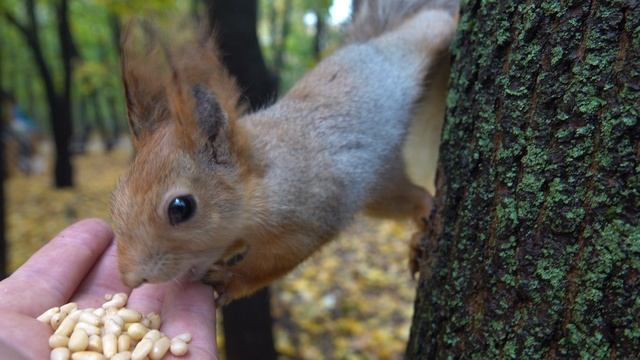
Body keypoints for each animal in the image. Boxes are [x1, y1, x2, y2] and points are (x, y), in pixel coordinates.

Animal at [111, 0, 460, 306]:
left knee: (433, 23)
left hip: (409, 50)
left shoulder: (311, 214)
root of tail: (366, 43)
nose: (130, 278)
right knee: (411, 196)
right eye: (117, 196)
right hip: (379, 188)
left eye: (181, 208)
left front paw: (231, 278)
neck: (265, 174)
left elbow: (275, 261)